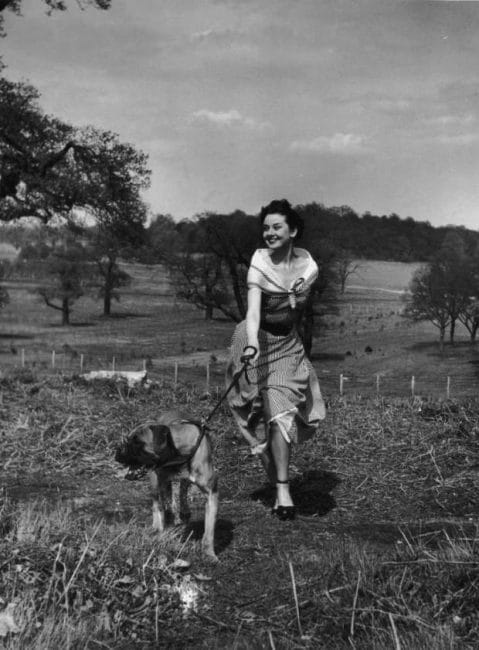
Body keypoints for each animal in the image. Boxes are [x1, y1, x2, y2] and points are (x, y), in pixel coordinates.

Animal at [116, 408, 219, 560]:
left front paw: (209, 554)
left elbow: (209, 531)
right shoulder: (159, 482)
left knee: (182, 489)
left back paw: (183, 510)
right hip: (154, 482)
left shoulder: (212, 494)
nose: (118, 452)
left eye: (137, 443)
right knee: (158, 502)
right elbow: (160, 509)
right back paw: (159, 524)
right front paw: (161, 530)